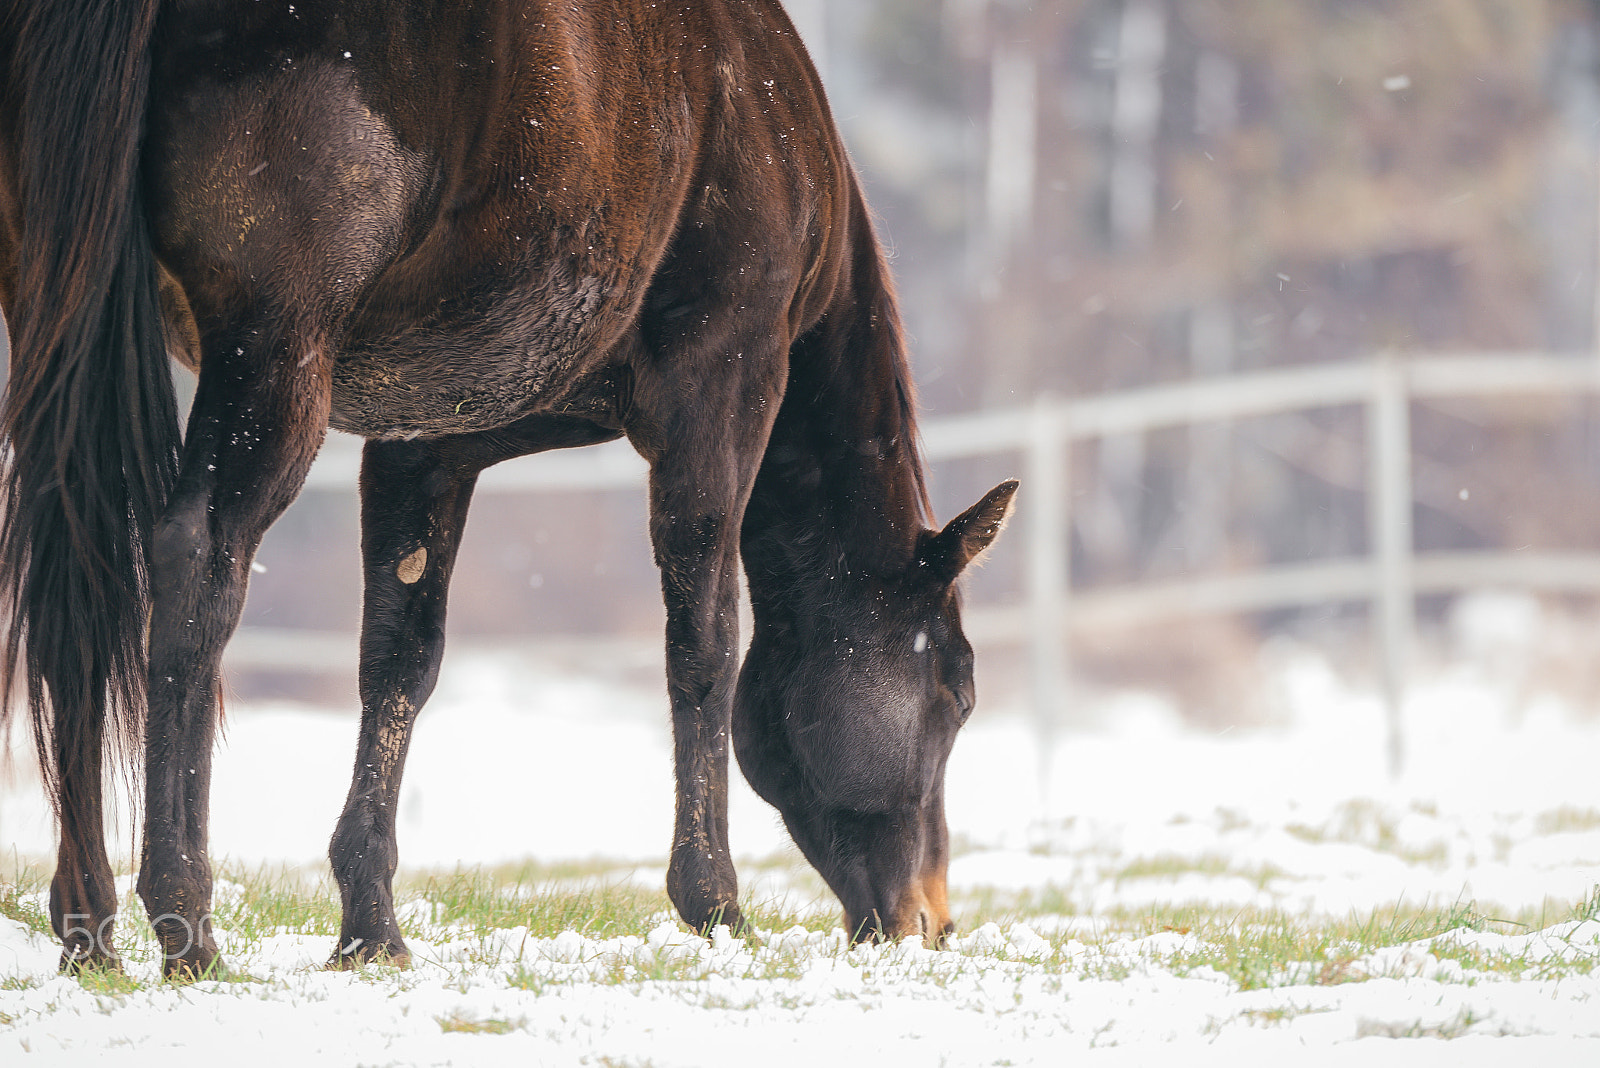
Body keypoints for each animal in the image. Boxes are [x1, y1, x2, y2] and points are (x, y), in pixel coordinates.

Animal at [0, 0, 1017, 978]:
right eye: (959, 688)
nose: (929, 920)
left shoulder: (425, 444)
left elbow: (399, 664)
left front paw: (370, 926)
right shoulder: (723, 388)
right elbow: (705, 642)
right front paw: (717, 908)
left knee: (82, 580)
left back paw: (88, 923)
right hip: (274, 352)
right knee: (197, 563)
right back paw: (186, 923)